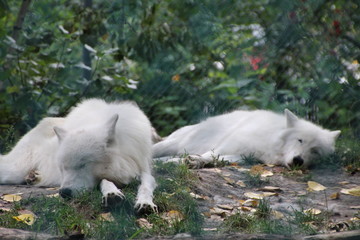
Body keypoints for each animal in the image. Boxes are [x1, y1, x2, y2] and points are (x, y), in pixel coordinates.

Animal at [0, 98, 157, 211]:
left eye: (83, 165)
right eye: (63, 168)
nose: (64, 192)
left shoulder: (143, 168)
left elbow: (146, 185)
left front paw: (145, 203)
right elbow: (105, 180)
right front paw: (112, 194)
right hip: (15, 170)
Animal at [153, 109, 342, 169]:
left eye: (315, 151)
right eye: (300, 140)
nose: (298, 160)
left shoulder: (244, 157)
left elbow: (215, 159)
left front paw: (194, 162)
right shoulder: (228, 145)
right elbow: (210, 154)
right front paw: (192, 161)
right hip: (182, 142)